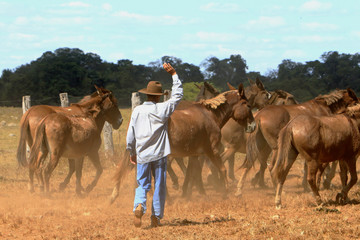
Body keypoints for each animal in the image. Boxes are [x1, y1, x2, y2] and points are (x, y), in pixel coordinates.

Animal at [108, 83, 255, 203]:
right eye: (248, 105)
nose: (253, 126)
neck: (210, 116)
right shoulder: (212, 151)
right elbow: (221, 169)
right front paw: (224, 192)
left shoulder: (195, 154)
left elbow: (193, 172)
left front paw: (192, 193)